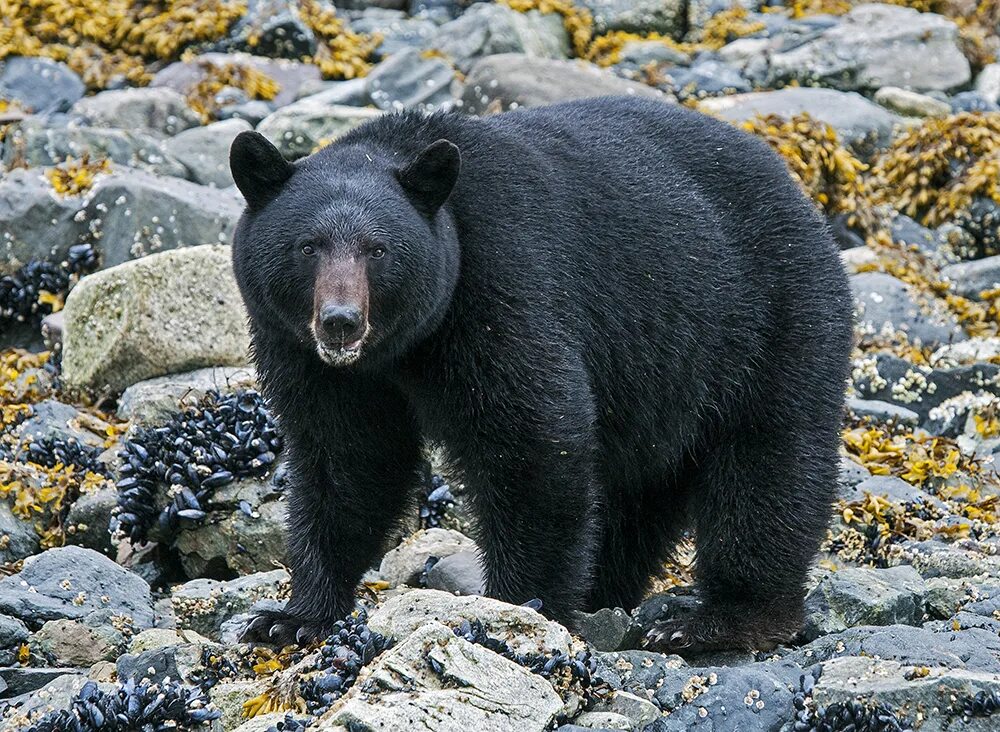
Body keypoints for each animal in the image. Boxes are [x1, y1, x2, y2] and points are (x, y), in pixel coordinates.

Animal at [229, 97, 852, 652]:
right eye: (307, 246)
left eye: (378, 249)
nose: (340, 321)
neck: (401, 349)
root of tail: (801, 195)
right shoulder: (310, 357)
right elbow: (347, 461)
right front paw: (294, 617)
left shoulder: (503, 285)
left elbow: (533, 439)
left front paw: (519, 610)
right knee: (635, 498)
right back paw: (607, 590)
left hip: (770, 321)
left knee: (768, 468)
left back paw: (718, 621)